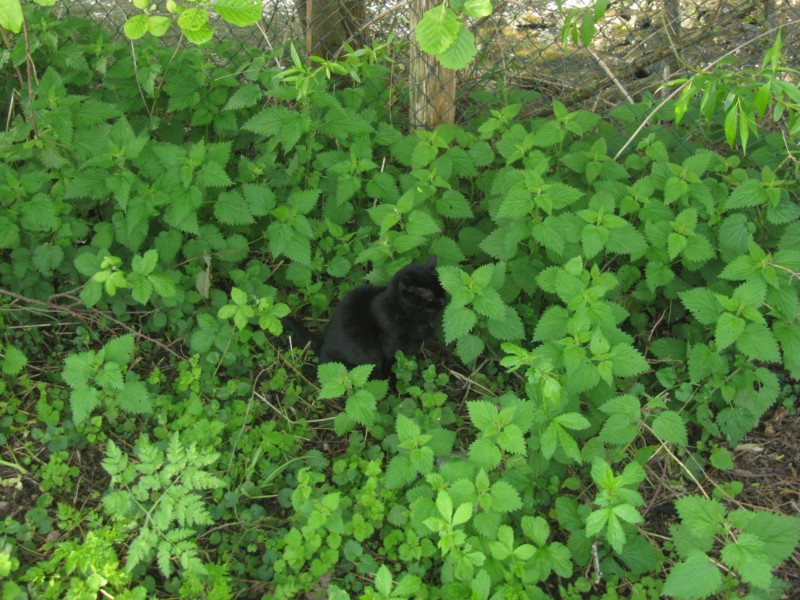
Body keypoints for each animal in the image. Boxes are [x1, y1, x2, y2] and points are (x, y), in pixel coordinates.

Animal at [282, 255, 446, 378]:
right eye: (429, 296)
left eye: (442, 288)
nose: (444, 300)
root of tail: (321, 344)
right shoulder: (391, 350)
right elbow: (394, 366)